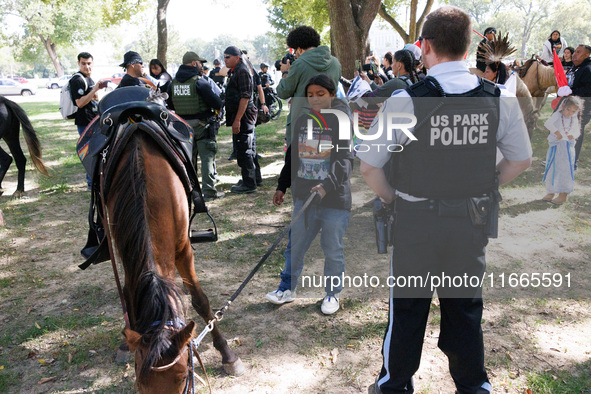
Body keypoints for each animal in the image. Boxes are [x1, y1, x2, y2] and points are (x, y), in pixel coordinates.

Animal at [105, 127, 244, 392]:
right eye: (139, 384)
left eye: (183, 377)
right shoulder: (126, 255)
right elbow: (129, 296)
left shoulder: (183, 249)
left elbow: (200, 300)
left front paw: (228, 354)